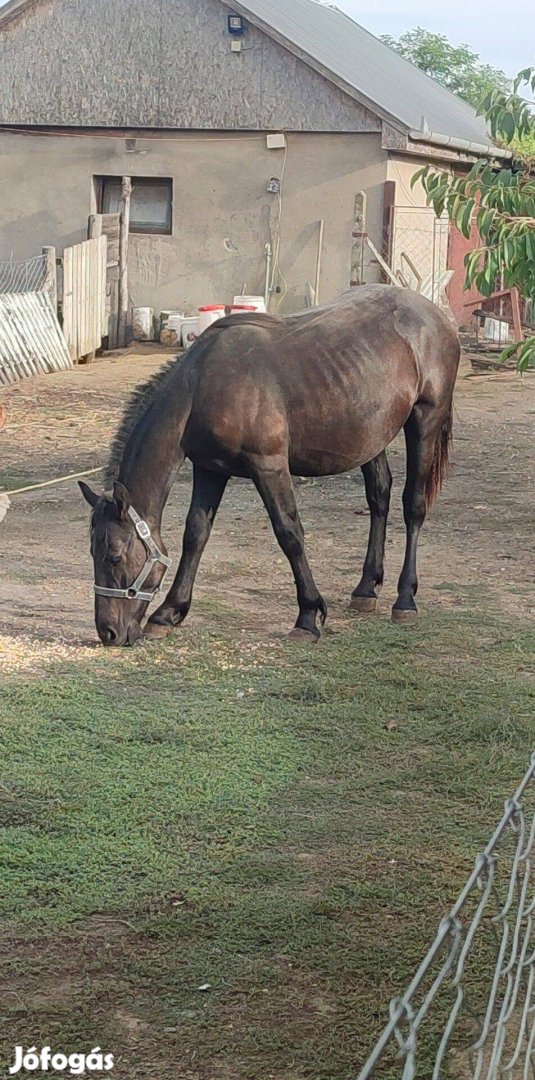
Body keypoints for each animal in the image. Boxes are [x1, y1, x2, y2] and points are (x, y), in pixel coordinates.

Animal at [79, 282, 460, 643]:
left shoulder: (269, 465)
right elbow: (195, 534)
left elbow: (289, 533)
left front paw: (308, 615)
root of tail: (436, 315)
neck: (202, 386)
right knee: (379, 497)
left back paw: (405, 599)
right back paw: (366, 589)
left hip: (424, 421)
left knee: (413, 505)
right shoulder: (210, 469)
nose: (108, 632)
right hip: (369, 437)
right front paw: (168, 613)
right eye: (91, 551)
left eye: (114, 555)